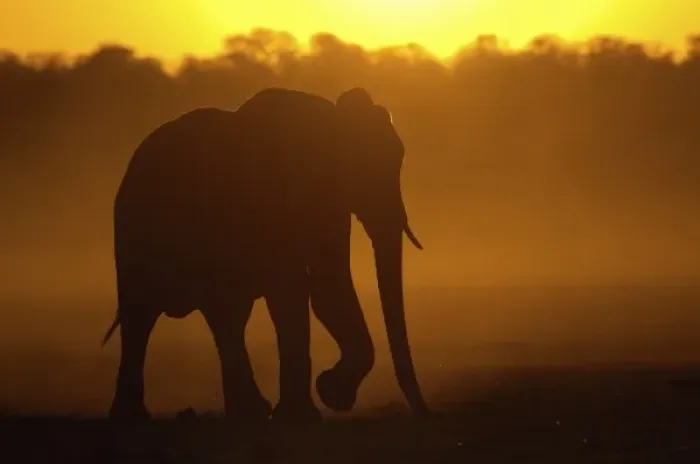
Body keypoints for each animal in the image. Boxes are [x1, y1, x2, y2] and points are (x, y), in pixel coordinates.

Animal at [101, 87, 428, 422]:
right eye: (364, 168)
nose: (423, 412)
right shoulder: (271, 199)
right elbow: (293, 289)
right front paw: (317, 405)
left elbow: (327, 290)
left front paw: (326, 397)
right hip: (132, 230)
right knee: (142, 314)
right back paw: (132, 417)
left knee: (225, 315)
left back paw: (249, 411)